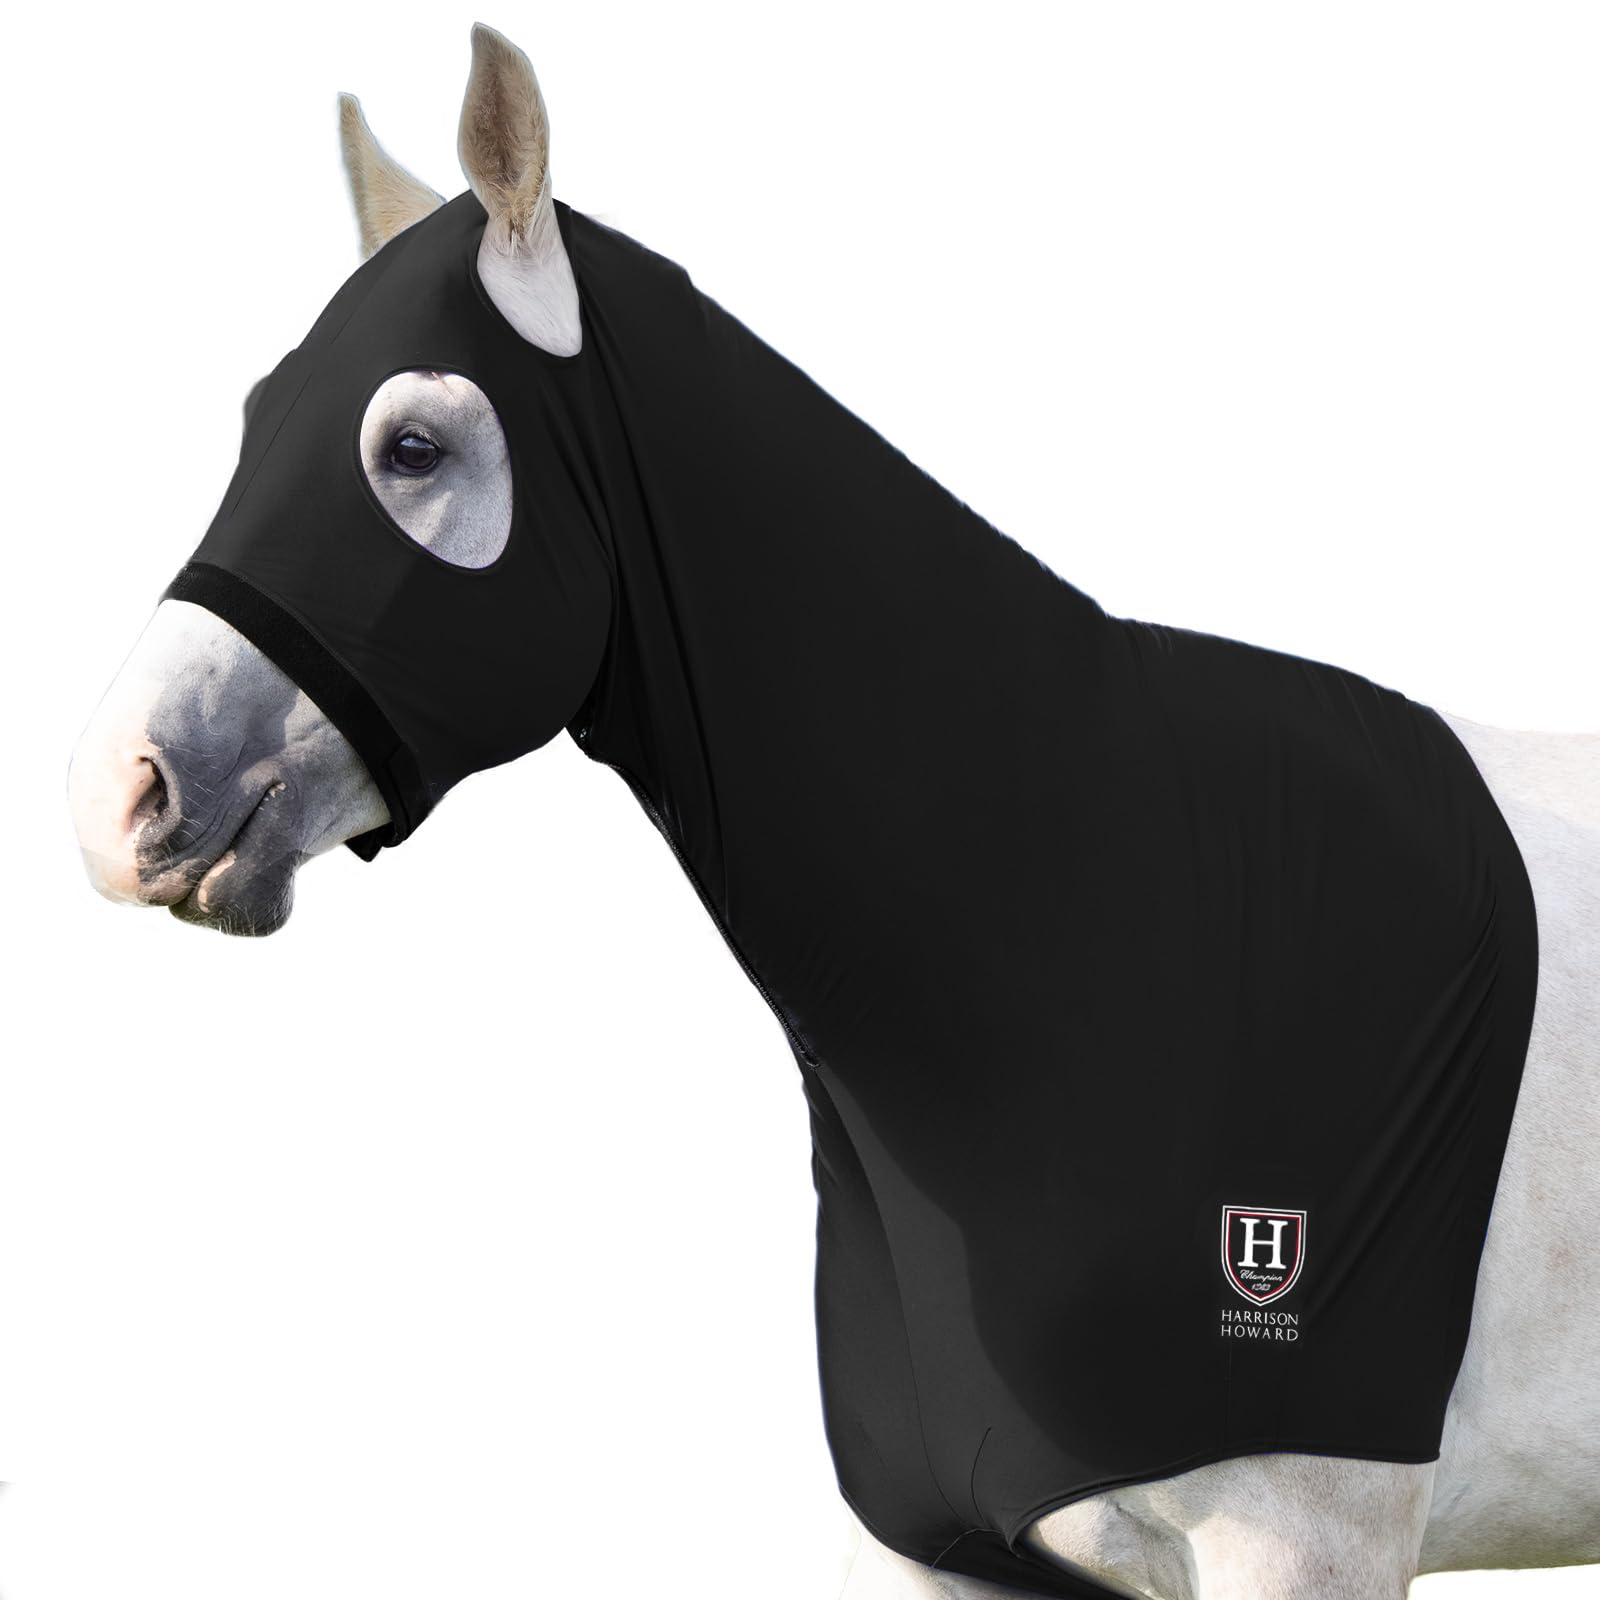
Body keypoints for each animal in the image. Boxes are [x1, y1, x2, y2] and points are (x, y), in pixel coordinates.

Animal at [67, 24, 1598, 1600]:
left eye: (412, 447)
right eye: (256, 420)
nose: (121, 793)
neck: (1091, 918)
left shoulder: (1304, 1543)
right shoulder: (950, 1551)